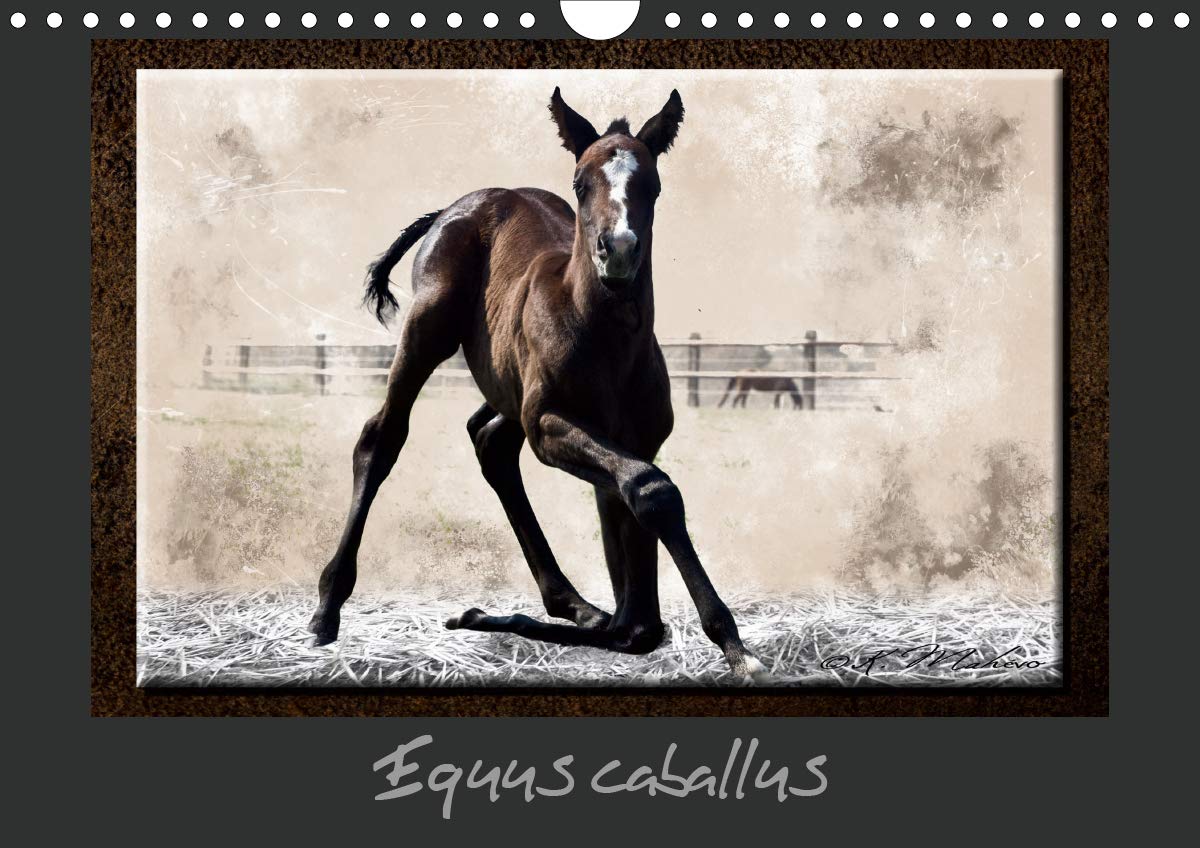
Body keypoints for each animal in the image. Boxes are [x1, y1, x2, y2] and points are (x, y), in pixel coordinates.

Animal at [307, 89, 767, 683]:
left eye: (653, 184)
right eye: (581, 182)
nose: (618, 250)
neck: (606, 339)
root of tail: (462, 203)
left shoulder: (635, 439)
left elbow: (641, 613)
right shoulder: (550, 425)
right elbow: (652, 491)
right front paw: (734, 645)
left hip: (506, 385)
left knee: (489, 440)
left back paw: (571, 604)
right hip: (428, 329)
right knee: (382, 436)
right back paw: (328, 607)